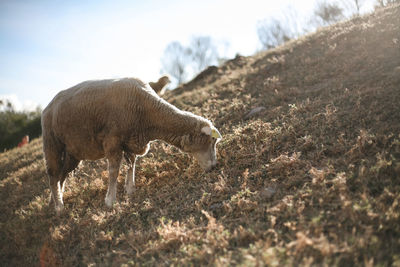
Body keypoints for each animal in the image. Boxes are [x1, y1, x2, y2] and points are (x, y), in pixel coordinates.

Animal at [41, 77, 222, 216]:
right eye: (210, 141)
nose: (214, 166)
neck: (148, 115)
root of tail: (48, 107)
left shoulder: (130, 142)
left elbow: (131, 164)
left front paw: (130, 189)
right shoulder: (112, 141)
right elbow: (114, 171)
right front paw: (110, 201)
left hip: (73, 152)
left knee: (62, 175)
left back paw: (55, 200)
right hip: (52, 144)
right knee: (52, 175)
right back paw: (59, 207)